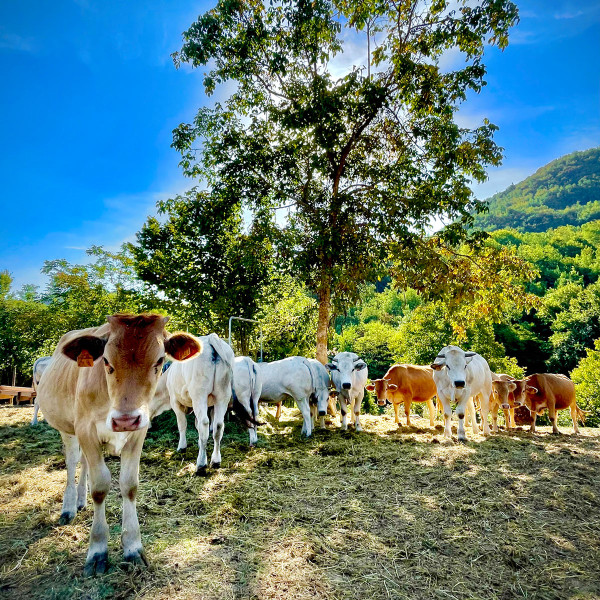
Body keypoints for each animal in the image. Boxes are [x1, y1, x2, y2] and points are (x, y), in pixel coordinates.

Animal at [38, 314, 202, 576]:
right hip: (68, 429)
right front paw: (97, 551)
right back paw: (69, 507)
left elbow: (129, 484)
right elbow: (99, 487)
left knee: (84, 463)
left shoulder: (138, 431)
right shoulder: (85, 428)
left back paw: (81, 501)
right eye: (105, 360)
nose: (125, 419)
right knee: (72, 463)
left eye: (159, 360)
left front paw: (133, 546)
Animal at [166, 332, 251, 474]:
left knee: (204, 423)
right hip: (222, 394)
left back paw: (201, 464)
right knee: (218, 425)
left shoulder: (175, 401)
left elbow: (182, 424)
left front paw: (182, 447)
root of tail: (210, 338)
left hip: (199, 393)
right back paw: (215, 460)